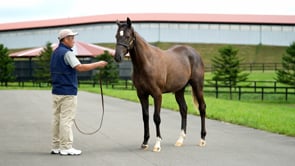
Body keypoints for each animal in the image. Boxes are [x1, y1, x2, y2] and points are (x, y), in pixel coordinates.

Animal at [114, 17, 207, 152]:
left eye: (127, 36)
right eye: (116, 36)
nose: (117, 57)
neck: (147, 63)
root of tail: (194, 53)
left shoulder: (157, 95)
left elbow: (156, 117)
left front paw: (157, 144)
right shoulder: (142, 94)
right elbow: (145, 117)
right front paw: (145, 142)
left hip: (197, 86)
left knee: (202, 108)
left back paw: (202, 139)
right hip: (179, 90)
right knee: (183, 109)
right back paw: (180, 140)